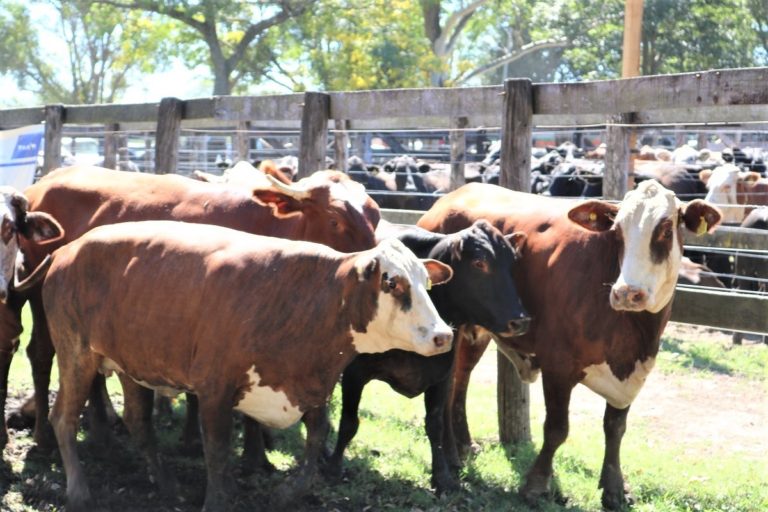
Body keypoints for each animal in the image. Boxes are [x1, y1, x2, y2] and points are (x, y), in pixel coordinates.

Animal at [3, 165, 380, 452]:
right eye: (335, 219)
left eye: (375, 216)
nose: (376, 260)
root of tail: (49, 179)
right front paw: (248, 456)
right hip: (41, 298)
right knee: (41, 353)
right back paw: (45, 435)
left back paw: (101, 426)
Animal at [43, 222, 456, 512]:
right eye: (393, 283)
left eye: (426, 283)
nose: (443, 335)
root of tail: (70, 248)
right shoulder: (214, 389)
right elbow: (217, 450)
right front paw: (217, 501)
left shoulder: (313, 387)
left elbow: (316, 443)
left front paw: (287, 495)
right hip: (75, 353)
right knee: (63, 417)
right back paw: (79, 492)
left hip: (133, 363)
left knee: (138, 422)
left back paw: (165, 483)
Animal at [328, 220, 532, 492]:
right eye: (479, 263)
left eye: (512, 263)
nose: (519, 320)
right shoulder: (354, 373)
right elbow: (349, 422)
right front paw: (334, 466)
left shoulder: (441, 375)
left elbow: (435, 425)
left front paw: (442, 476)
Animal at [414, 179, 720, 508]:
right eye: (617, 232)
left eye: (664, 229)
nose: (627, 293)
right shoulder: (559, 367)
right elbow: (557, 429)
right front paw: (536, 484)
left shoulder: (632, 373)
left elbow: (615, 428)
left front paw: (614, 487)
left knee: (461, 380)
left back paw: (464, 445)